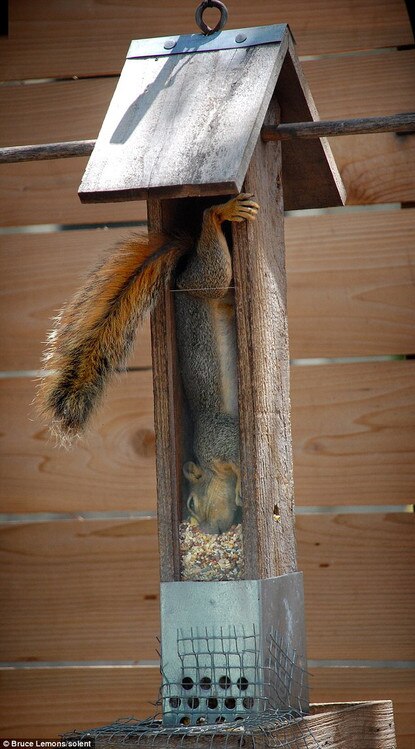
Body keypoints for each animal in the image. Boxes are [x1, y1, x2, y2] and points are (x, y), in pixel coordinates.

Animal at [38, 193, 259, 533]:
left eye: (191, 503)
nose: (208, 529)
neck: (210, 467)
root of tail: (182, 271)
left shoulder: (221, 438)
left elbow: (236, 455)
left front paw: (238, 490)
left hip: (201, 284)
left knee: (211, 268)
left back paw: (221, 211)